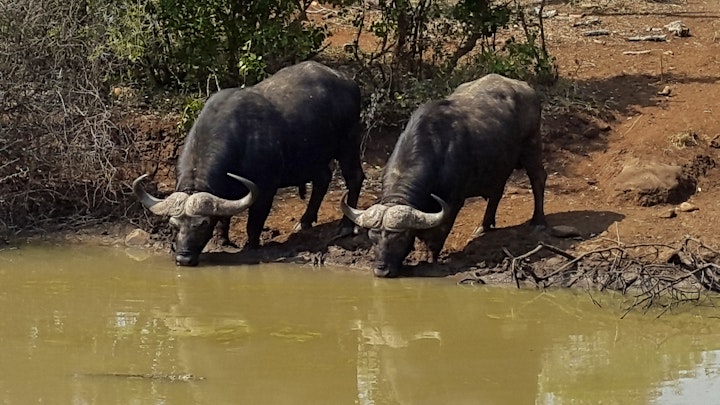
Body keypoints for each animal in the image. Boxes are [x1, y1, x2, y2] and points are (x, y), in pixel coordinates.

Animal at [134, 61, 365, 266]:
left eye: (202, 224)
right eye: (173, 225)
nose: (183, 258)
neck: (240, 139)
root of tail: (349, 82)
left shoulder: (265, 188)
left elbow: (255, 220)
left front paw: (250, 245)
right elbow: (225, 216)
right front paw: (222, 239)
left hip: (348, 144)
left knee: (354, 177)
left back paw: (345, 226)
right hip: (314, 157)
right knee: (323, 179)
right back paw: (305, 221)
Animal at [342, 74, 546, 277]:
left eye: (400, 239)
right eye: (373, 238)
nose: (381, 270)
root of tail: (526, 87)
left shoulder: (452, 204)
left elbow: (436, 235)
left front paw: (428, 258)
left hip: (532, 146)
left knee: (538, 178)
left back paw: (538, 222)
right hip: (499, 164)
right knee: (497, 190)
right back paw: (484, 226)